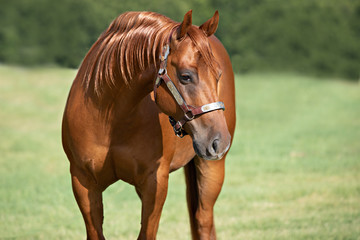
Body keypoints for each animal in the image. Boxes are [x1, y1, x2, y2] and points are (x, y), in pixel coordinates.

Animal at [62, 9, 236, 240]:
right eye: (185, 76)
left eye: (218, 75)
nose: (220, 142)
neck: (110, 119)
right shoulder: (83, 182)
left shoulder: (155, 183)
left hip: (212, 168)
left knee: (203, 221)